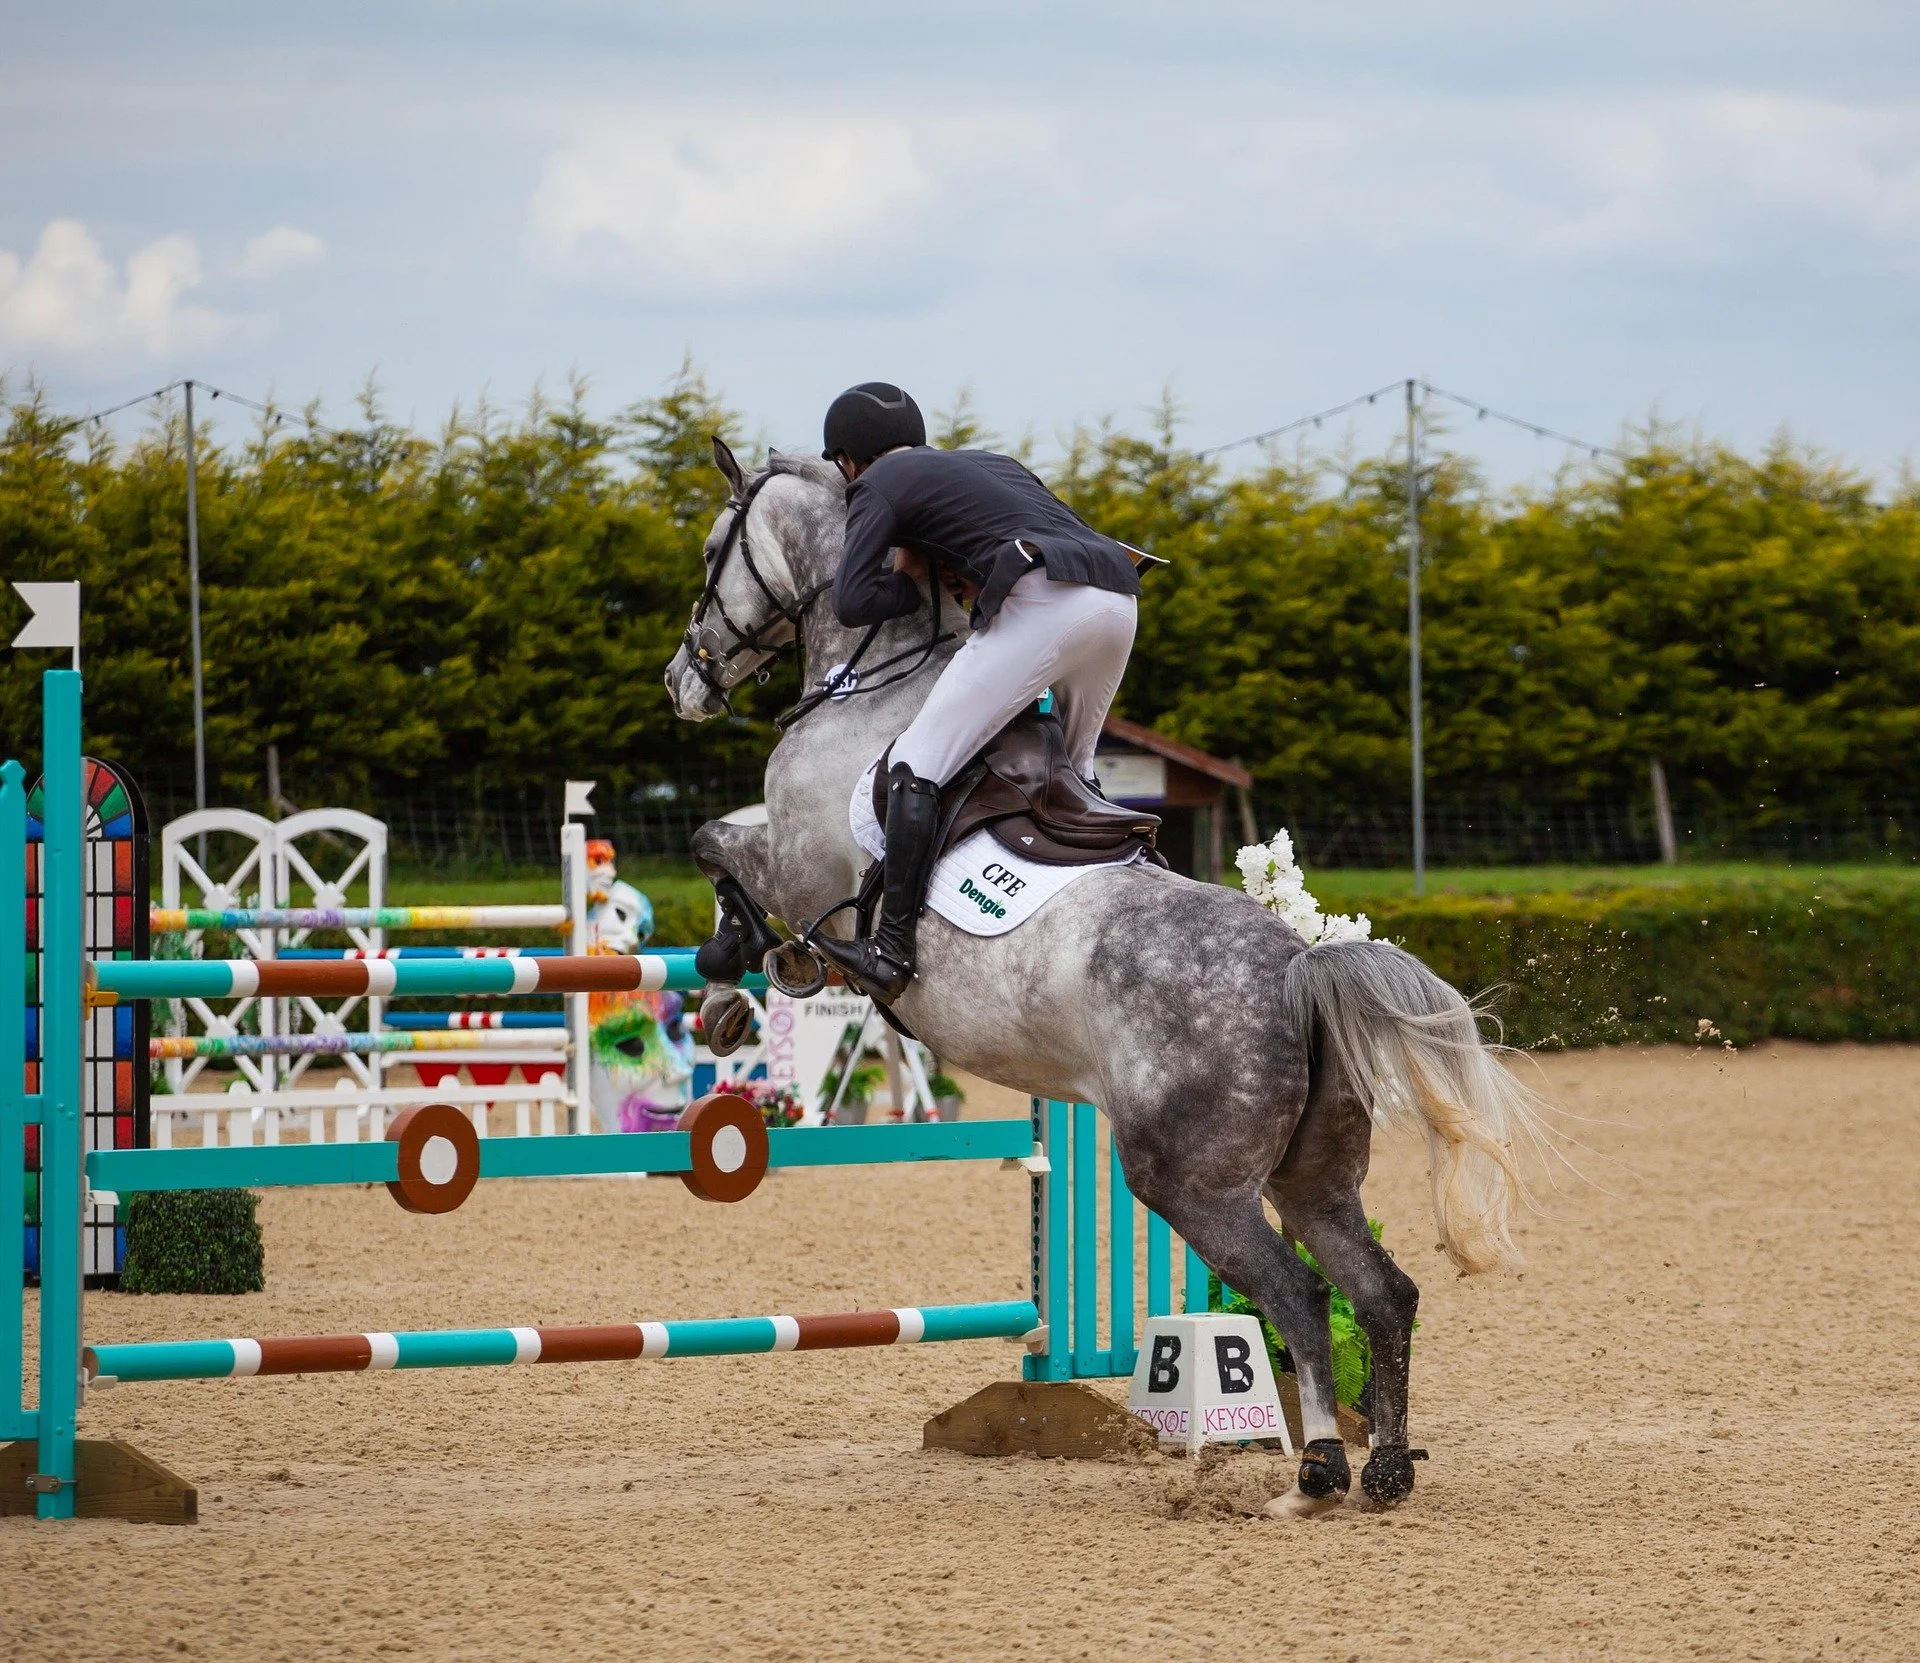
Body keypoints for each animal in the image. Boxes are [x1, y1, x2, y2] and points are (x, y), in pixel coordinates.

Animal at [664, 440, 1548, 1512]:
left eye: (712, 548)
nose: (681, 681)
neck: (874, 687)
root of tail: (1300, 968)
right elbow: (719, 840)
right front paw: (735, 984)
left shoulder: (802, 865)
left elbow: (716, 841)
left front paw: (733, 976)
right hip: (1313, 1174)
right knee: (1381, 1287)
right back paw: (1382, 1465)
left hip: (1187, 1180)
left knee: (1298, 1294)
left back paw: (1315, 1472)